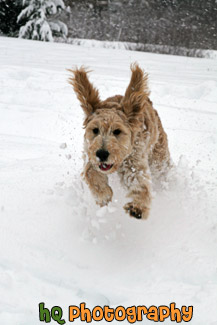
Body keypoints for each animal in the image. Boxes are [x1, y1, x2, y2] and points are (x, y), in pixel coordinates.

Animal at [68, 63, 170, 219]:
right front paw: (103, 195)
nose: (102, 154)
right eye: (95, 130)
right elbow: (90, 172)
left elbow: (140, 183)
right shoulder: (90, 155)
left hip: (159, 156)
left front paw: (138, 206)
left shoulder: (134, 162)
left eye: (117, 131)